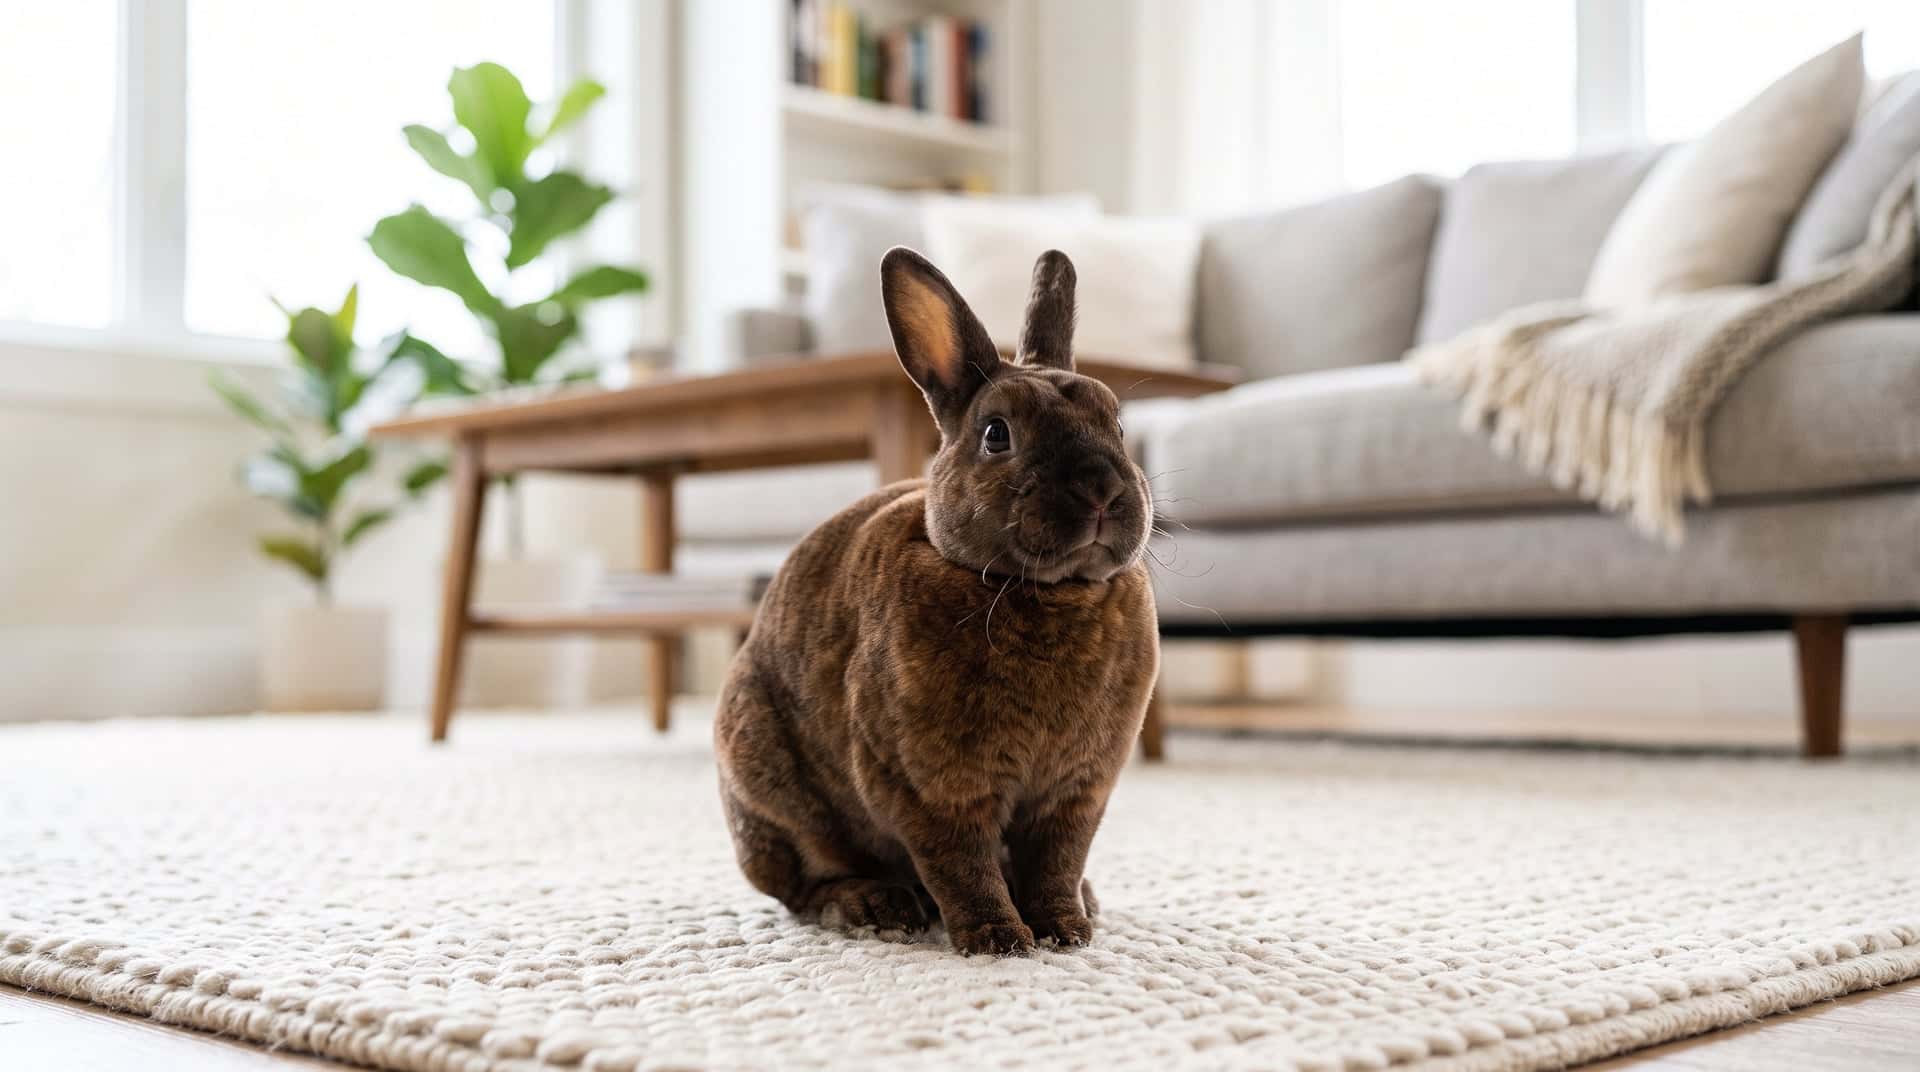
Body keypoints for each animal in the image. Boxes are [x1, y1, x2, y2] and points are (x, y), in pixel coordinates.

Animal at [714, 246, 1159, 956]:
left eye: (1115, 423)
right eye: (997, 434)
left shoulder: (1075, 794)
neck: (1037, 590)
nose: (1100, 487)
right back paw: (875, 907)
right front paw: (999, 941)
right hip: (772, 795)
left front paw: (1065, 930)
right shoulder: (930, 789)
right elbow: (960, 864)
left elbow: (1058, 861)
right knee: (805, 883)